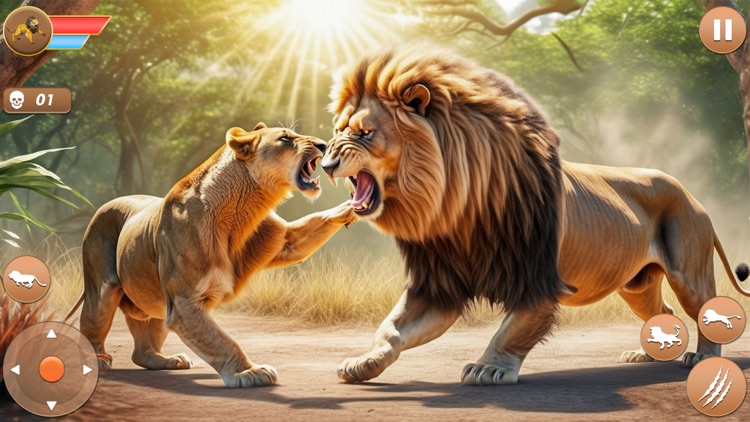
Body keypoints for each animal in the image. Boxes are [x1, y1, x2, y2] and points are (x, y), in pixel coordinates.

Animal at [65, 123, 356, 388]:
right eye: (285, 138)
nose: (322, 144)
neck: (244, 209)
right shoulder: (184, 303)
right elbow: (221, 340)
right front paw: (248, 372)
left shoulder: (283, 241)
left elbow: (316, 222)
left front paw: (352, 205)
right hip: (102, 290)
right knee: (93, 324)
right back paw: (98, 359)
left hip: (156, 303)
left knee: (142, 351)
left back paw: (169, 360)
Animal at [321, 44, 750, 386]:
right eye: (338, 130)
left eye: (364, 133)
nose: (325, 164)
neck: (456, 208)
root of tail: (691, 194)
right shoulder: (439, 285)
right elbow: (391, 330)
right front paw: (363, 363)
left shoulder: (539, 279)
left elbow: (510, 332)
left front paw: (488, 368)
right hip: (637, 286)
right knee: (662, 310)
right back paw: (647, 353)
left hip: (687, 271)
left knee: (706, 308)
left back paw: (703, 356)